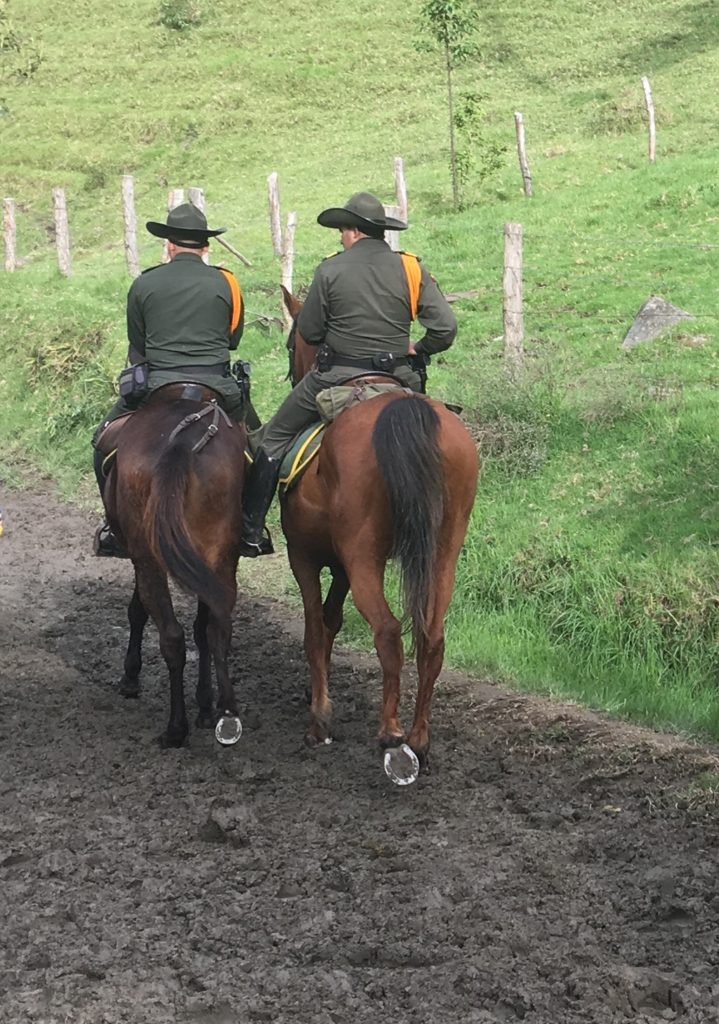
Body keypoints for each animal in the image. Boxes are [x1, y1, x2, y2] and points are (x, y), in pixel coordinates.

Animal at [99, 382, 247, 745]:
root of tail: (180, 442)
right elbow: (203, 630)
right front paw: (205, 706)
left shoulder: (140, 555)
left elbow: (137, 610)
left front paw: (130, 676)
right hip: (219, 557)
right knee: (216, 629)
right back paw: (224, 712)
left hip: (149, 557)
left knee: (171, 636)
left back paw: (176, 728)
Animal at [280, 284, 479, 778]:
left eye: (292, 343)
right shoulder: (340, 567)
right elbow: (329, 622)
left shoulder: (305, 557)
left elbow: (315, 628)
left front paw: (319, 720)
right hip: (442, 555)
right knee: (431, 636)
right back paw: (419, 738)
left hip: (364, 557)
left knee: (388, 632)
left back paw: (391, 733)